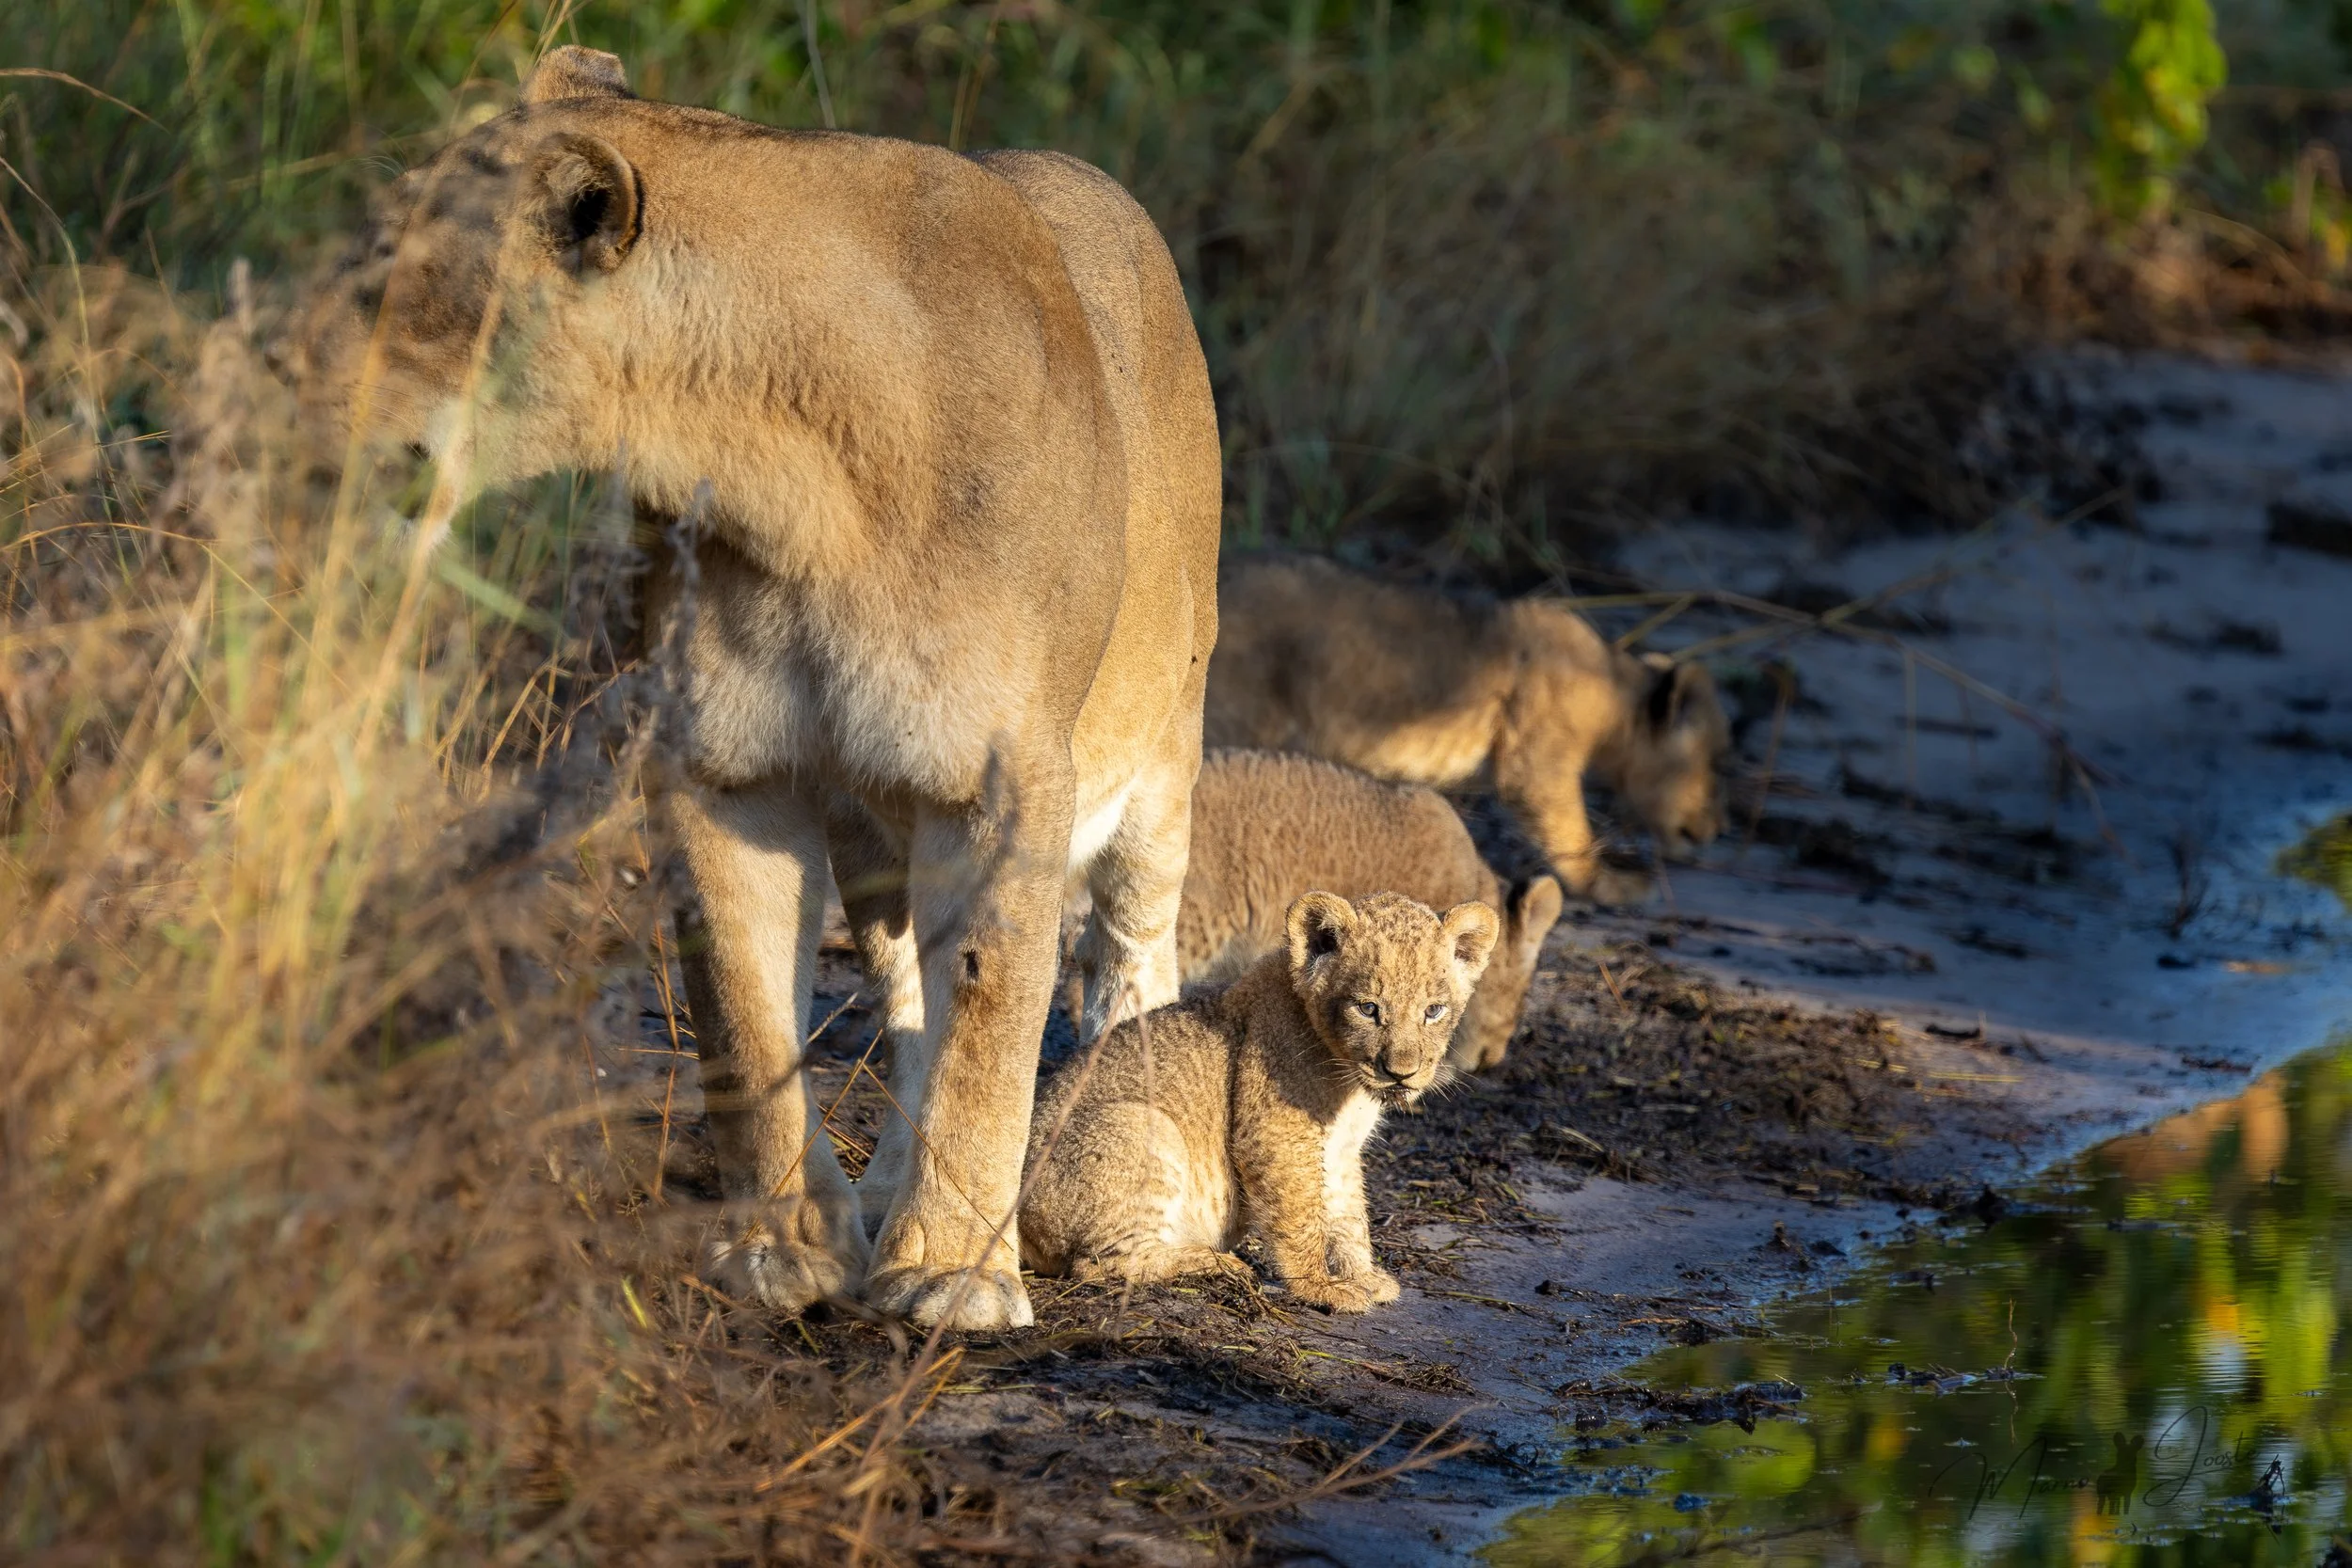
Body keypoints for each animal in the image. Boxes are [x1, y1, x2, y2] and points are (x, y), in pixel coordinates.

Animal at [282, 47, 1220, 1330]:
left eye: (391, 275)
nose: (276, 373)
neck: (788, 486)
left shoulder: (1005, 781)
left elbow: (989, 1024)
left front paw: (958, 1273)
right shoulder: (721, 764)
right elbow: (742, 1006)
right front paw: (780, 1246)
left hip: (1163, 747)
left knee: (1131, 947)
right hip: (874, 836)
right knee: (906, 1004)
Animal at [1021, 890, 1497, 1311]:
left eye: (1434, 1011)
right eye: (1367, 1008)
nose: (1401, 1073)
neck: (1348, 1083)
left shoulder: (1341, 1146)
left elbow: (1348, 1213)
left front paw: (1362, 1275)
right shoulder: (1276, 1131)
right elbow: (1302, 1215)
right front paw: (1320, 1287)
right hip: (1140, 1123)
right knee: (1097, 1265)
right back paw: (1215, 1262)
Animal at [1204, 553, 1730, 905]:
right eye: (1710, 764)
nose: (1713, 830)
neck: (1615, 691)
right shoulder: (1537, 768)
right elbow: (1570, 833)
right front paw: (1611, 886)